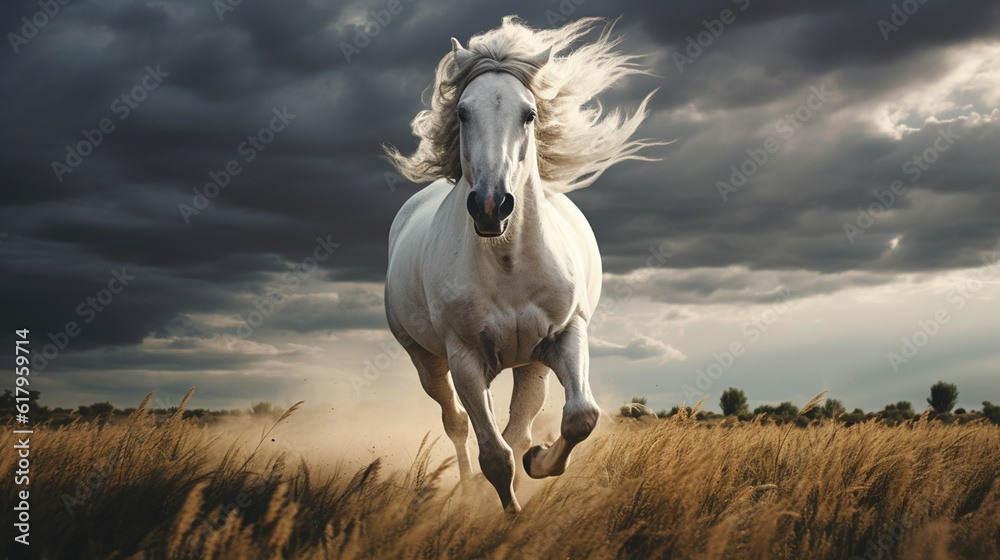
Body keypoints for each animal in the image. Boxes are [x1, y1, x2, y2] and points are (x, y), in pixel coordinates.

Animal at [383, 16, 661, 513]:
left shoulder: (564, 335)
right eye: (462, 112)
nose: (491, 206)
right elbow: (494, 455)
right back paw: (466, 487)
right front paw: (505, 514)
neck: (508, 261)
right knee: (458, 423)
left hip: (529, 363)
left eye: (529, 114)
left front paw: (538, 462)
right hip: (428, 361)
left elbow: (579, 418)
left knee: (516, 424)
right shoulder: (465, 358)